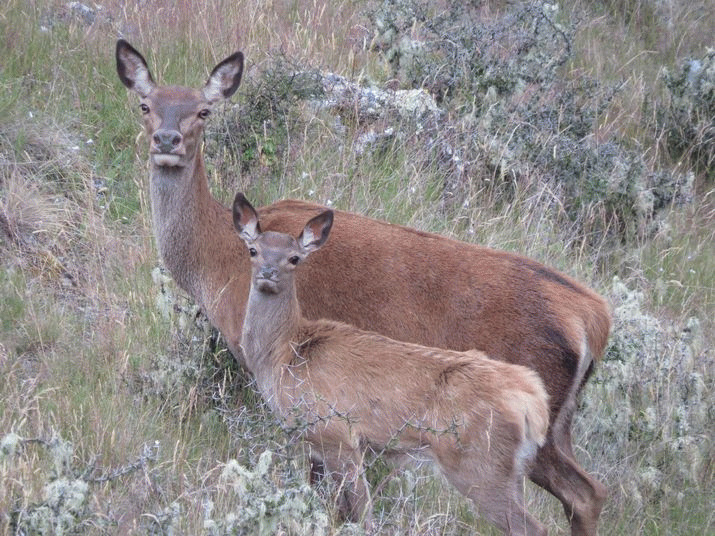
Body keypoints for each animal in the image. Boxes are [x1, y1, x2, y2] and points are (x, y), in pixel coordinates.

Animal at [233, 192, 550, 535]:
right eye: (253, 250)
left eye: (294, 258)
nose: (268, 273)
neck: (284, 354)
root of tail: (533, 401)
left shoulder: (337, 433)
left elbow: (363, 511)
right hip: (508, 471)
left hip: (479, 464)